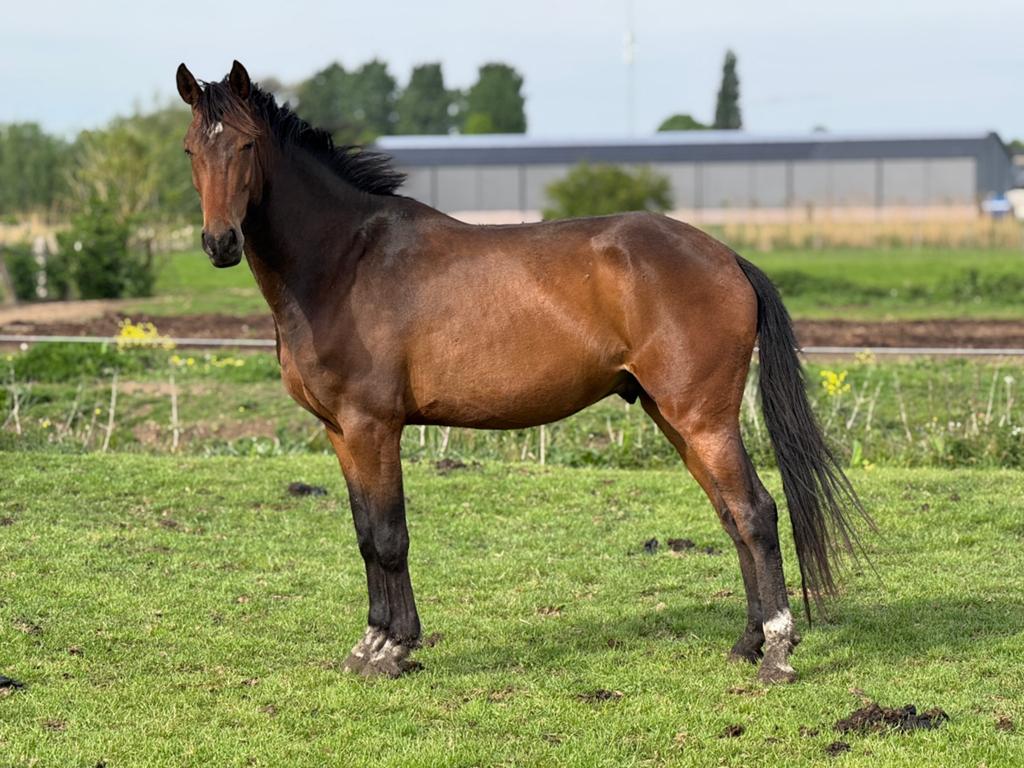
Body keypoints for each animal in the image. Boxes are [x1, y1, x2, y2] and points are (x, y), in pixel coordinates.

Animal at [175, 61, 868, 683]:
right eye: (190, 149)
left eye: (246, 144)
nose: (220, 243)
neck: (345, 262)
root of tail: (726, 256)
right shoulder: (340, 431)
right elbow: (366, 534)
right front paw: (369, 644)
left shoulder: (373, 427)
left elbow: (391, 535)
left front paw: (395, 649)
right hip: (674, 419)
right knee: (731, 516)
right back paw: (747, 643)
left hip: (703, 419)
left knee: (755, 513)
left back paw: (777, 655)